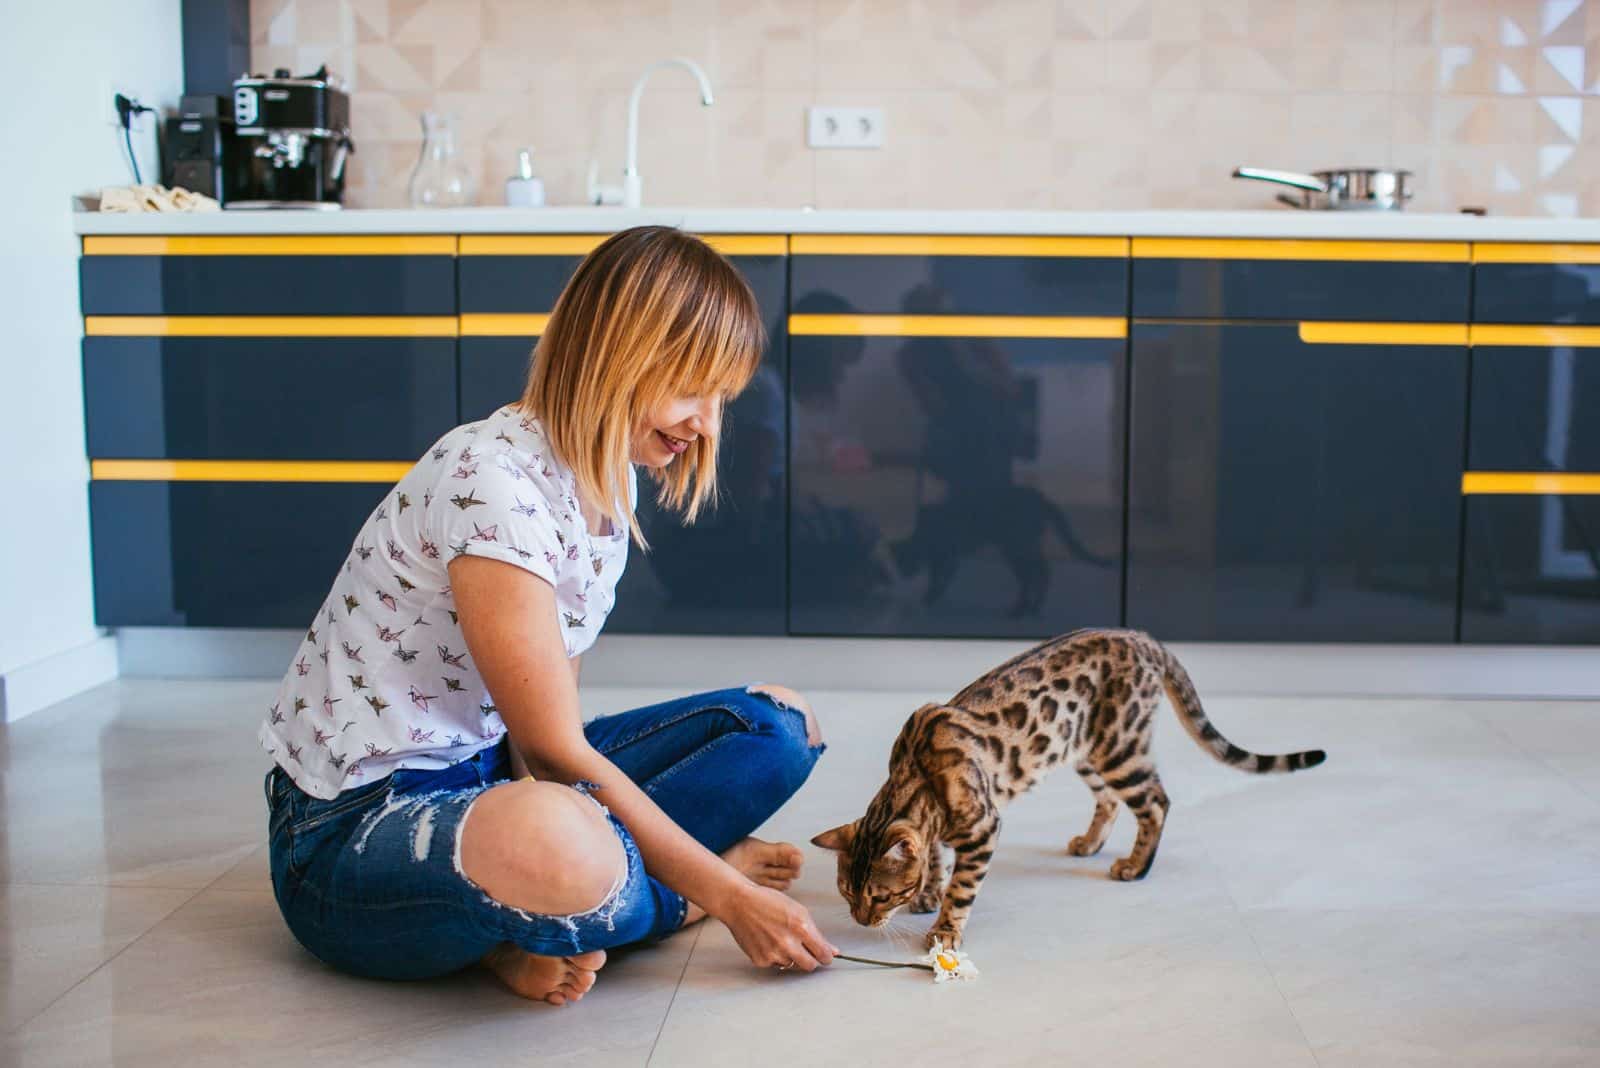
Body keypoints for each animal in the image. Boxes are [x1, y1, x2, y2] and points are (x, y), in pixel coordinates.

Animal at [812, 629, 1324, 946]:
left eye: (878, 897)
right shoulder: (935, 828)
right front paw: (926, 893)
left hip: (1119, 747)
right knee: (1110, 800)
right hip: (1085, 750)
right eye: (846, 892)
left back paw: (1135, 866)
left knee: (1156, 802)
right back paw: (1090, 843)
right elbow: (936, 860)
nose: (862, 921)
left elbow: (963, 887)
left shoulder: (983, 827)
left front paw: (945, 928)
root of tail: (1145, 638)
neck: (918, 774)